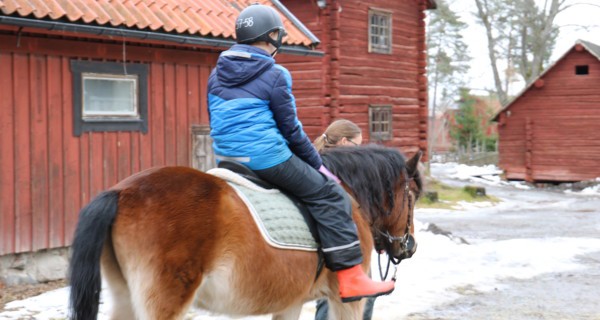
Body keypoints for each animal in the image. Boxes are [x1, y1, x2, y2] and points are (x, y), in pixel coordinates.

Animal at [69, 145, 422, 320]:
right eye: (413, 195)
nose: (410, 246)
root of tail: (119, 192)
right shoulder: (345, 300)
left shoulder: (290, 301)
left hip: (124, 296)